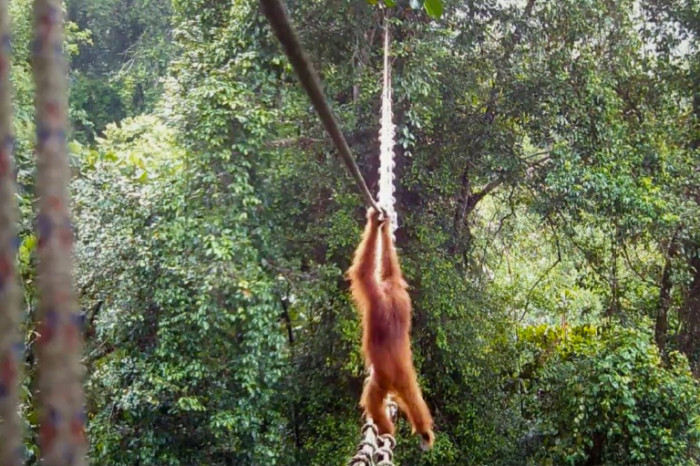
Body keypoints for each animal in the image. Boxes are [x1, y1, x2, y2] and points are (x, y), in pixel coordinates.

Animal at [347, 207, 434, 449]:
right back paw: (424, 432)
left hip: (382, 379)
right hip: (405, 377)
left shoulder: (375, 295)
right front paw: (384, 227)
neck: (390, 295)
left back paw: (385, 430)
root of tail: (399, 370)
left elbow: (363, 272)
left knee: (372, 399)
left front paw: (374, 221)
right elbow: (391, 268)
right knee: (414, 399)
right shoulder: (398, 289)